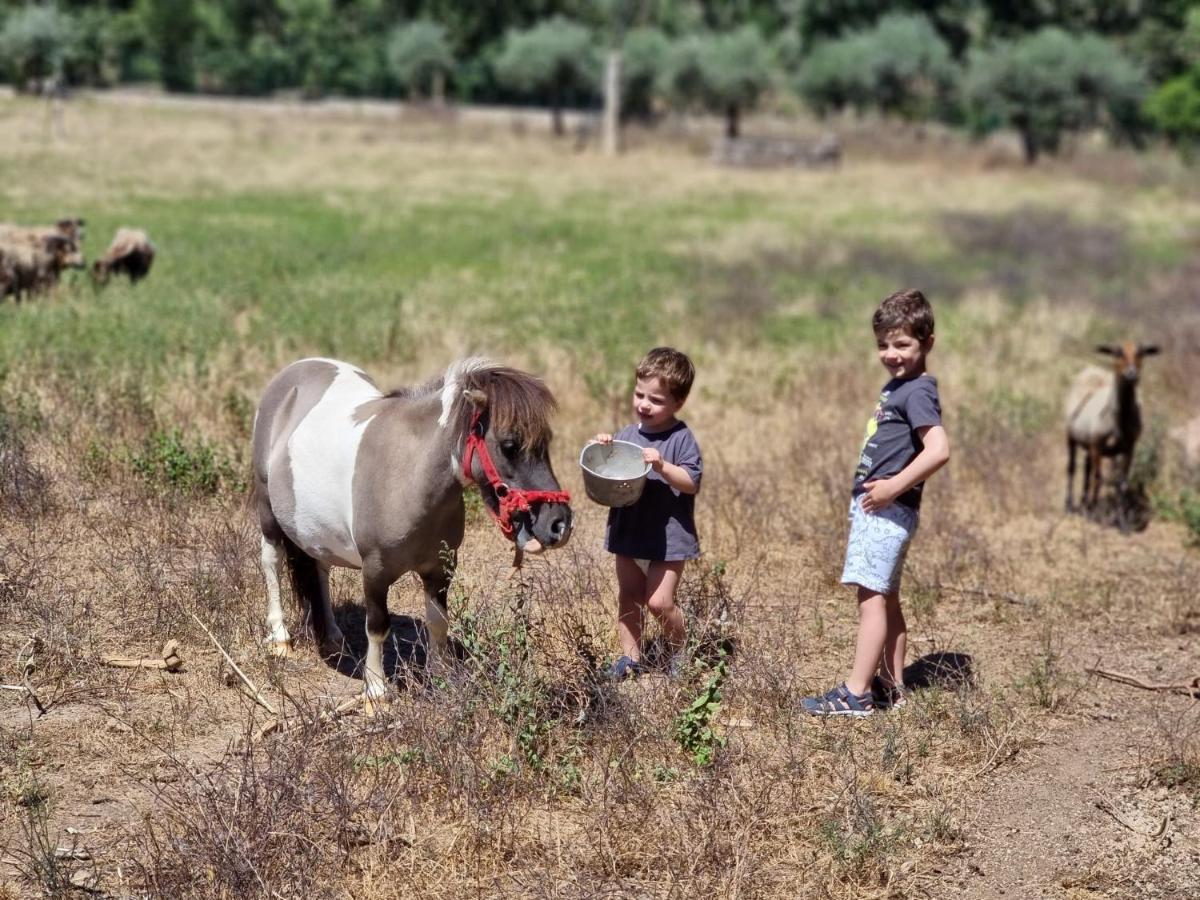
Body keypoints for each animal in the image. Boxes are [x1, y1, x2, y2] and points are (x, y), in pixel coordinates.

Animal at [252, 355, 571, 700]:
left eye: (547, 442)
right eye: (509, 444)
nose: (559, 523)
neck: (409, 473)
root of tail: (296, 369)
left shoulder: (441, 569)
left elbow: (438, 623)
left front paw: (442, 679)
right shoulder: (375, 571)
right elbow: (377, 627)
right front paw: (376, 692)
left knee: (320, 570)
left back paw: (334, 637)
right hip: (267, 512)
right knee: (272, 562)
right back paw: (280, 638)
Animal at [1065, 343, 1156, 525]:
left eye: (1141, 353)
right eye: (1118, 353)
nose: (1131, 374)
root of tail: (1092, 370)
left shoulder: (1128, 448)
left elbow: (1122, 482)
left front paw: (1122, 522)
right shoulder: (1098, 445)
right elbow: (1098, 478)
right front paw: (1092, 514)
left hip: (1089, 444)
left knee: (1087, 467)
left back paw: (1084, 502)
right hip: (1072, 437)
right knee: (1072, 468)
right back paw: (1070, 505)